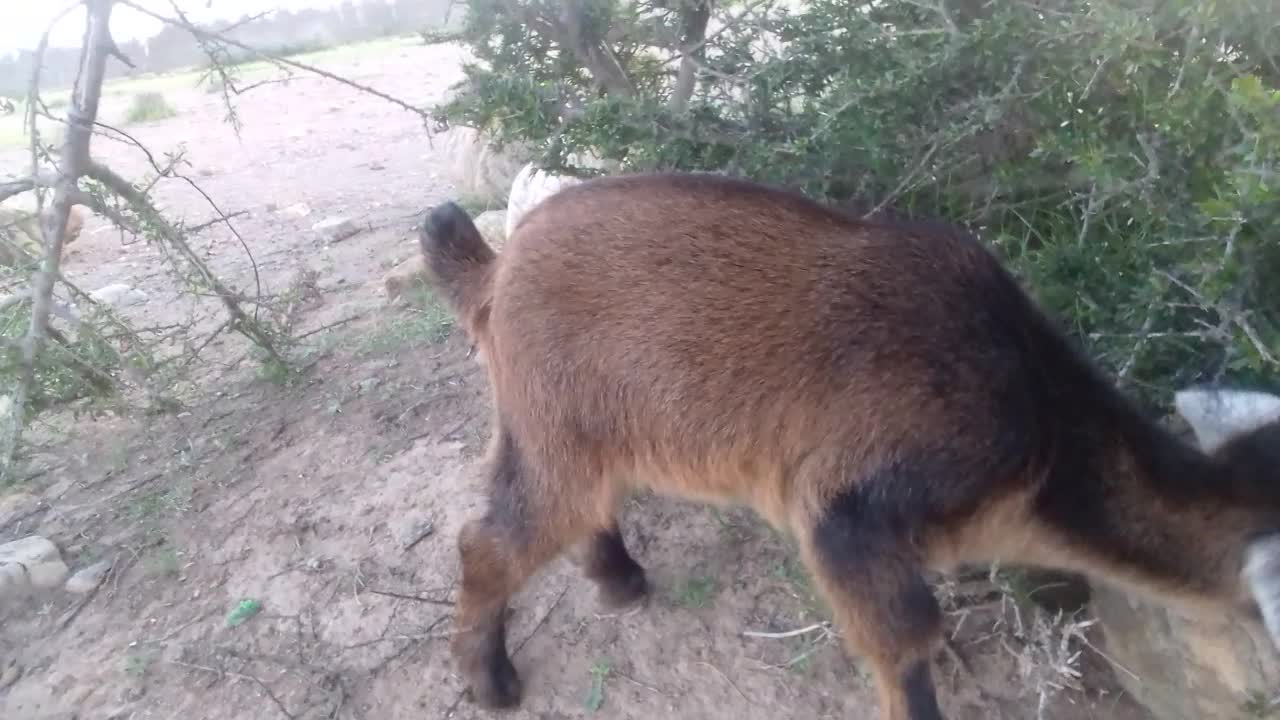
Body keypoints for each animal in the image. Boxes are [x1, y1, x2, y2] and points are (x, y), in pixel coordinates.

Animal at [417, 170, 1280, 712]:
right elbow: (906, 643)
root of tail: (494, 269)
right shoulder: (852, 509)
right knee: (488, 541)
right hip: (554, 420)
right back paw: (491, 681)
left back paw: (620, 580)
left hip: (573, 431)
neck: (1043, 433)